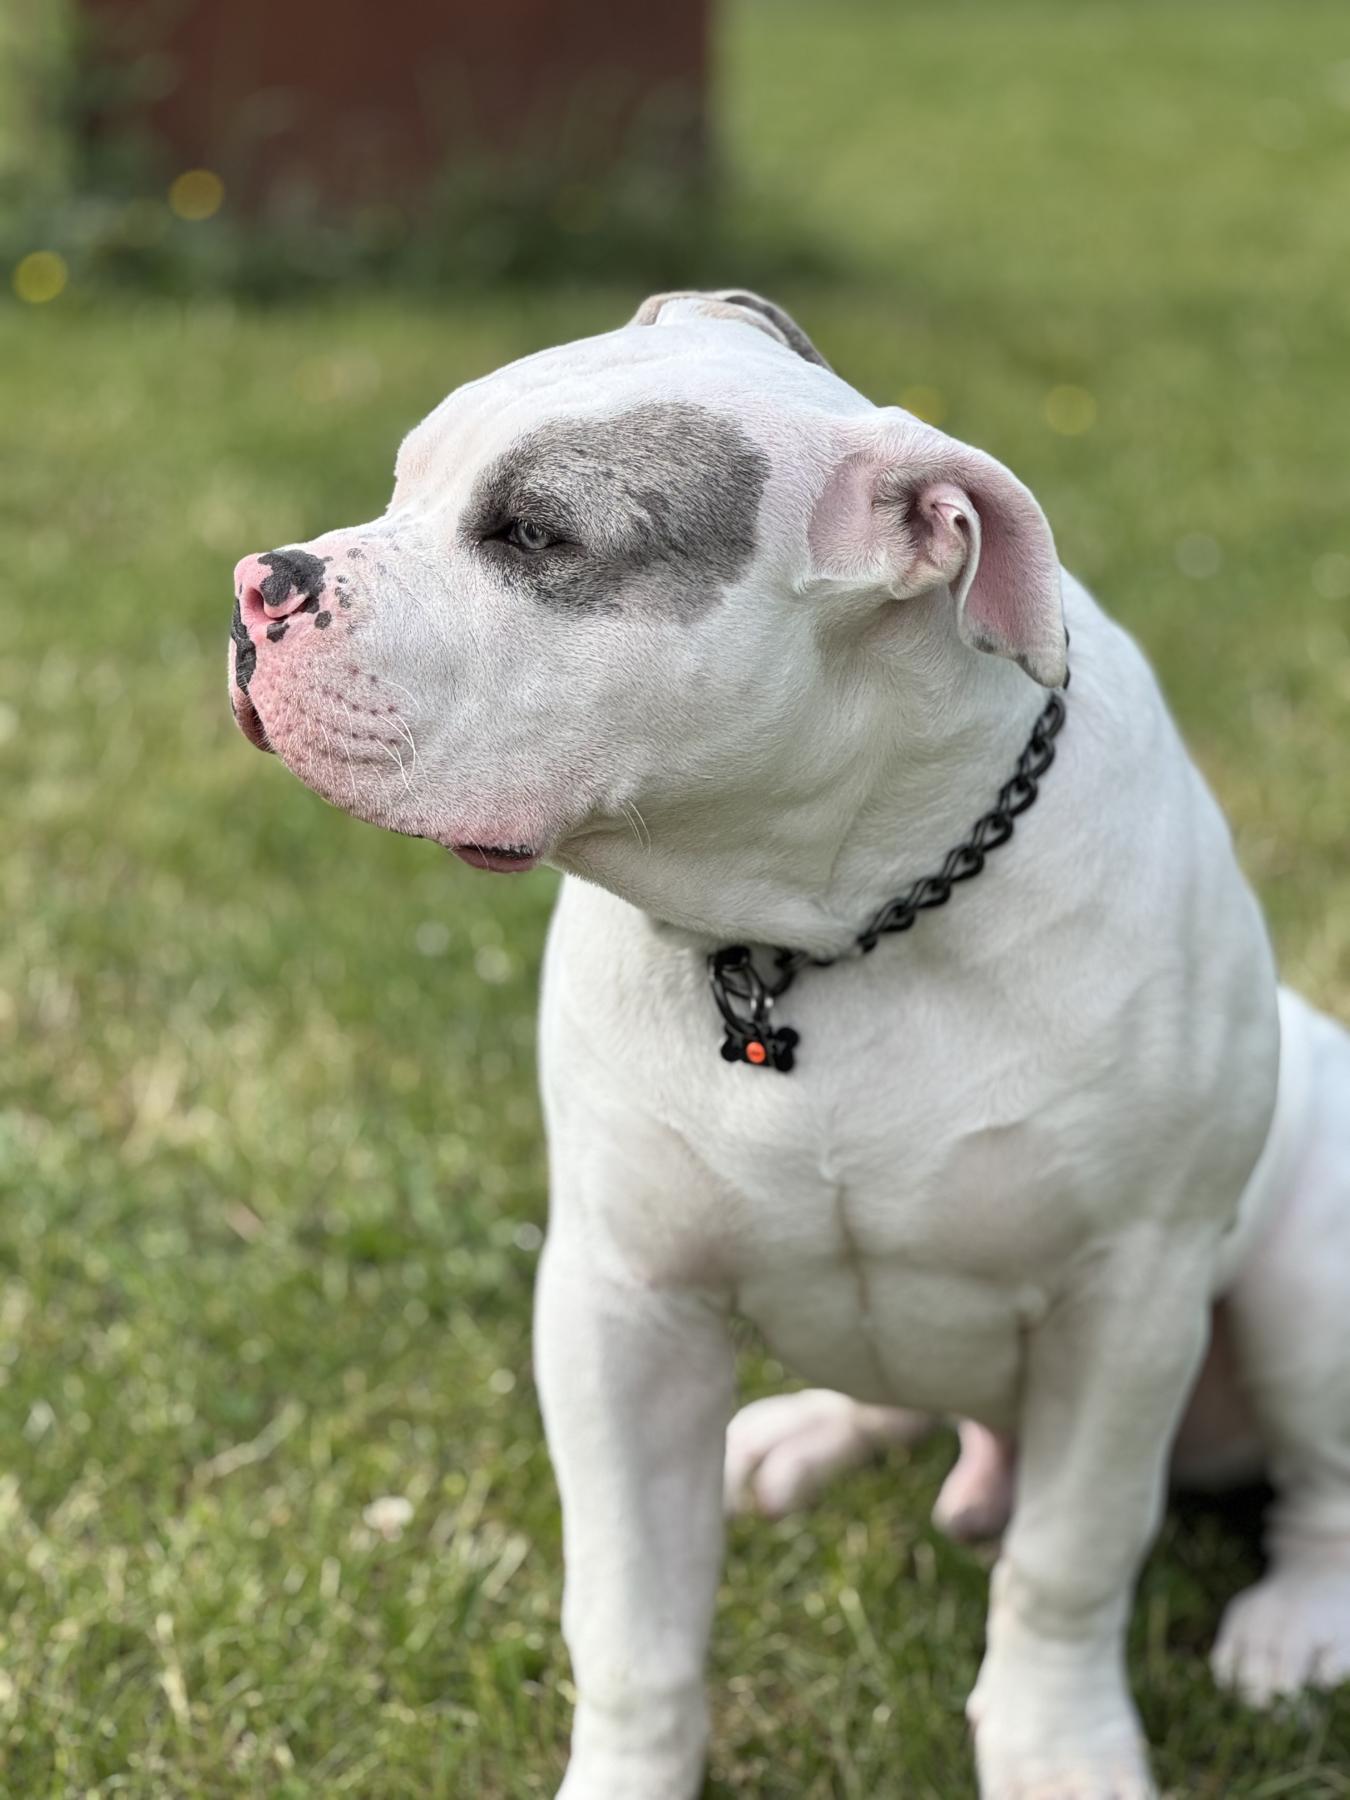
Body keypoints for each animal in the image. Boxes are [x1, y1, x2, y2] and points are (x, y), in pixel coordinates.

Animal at [228, 290, 1350, 1798]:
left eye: (535, 538)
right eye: (406, 483)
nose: (259, 583)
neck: (814, 923)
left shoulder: (1128, 1307)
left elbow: (1068, 1565)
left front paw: (1057, 1746)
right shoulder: (619, 1308)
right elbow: (631, 1622)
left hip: (1305, 1284)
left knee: (1318, 1493)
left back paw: (1292, 1625)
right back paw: (804, 1434)